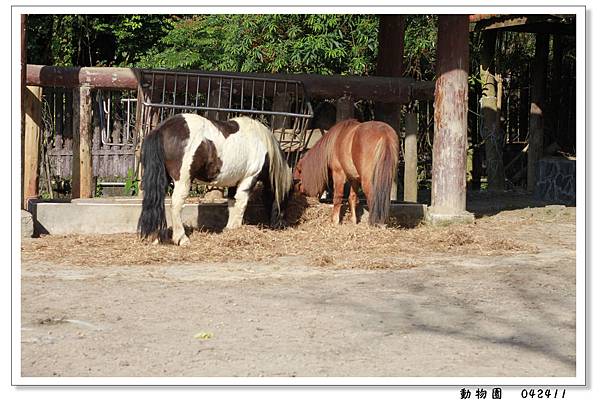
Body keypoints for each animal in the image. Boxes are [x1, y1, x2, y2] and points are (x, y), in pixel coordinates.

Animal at [139, 112, 292, 244]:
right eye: (286, 197)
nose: (281, 226)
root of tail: (163, 128)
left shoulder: (234, 182)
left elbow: (232, 203)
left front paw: (229, 229)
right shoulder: (249, 178)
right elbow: (241, 203)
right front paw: (236, 229)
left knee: (155, 201)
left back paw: (154, 238)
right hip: (182, 180)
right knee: (176, 204)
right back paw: (181, 239)